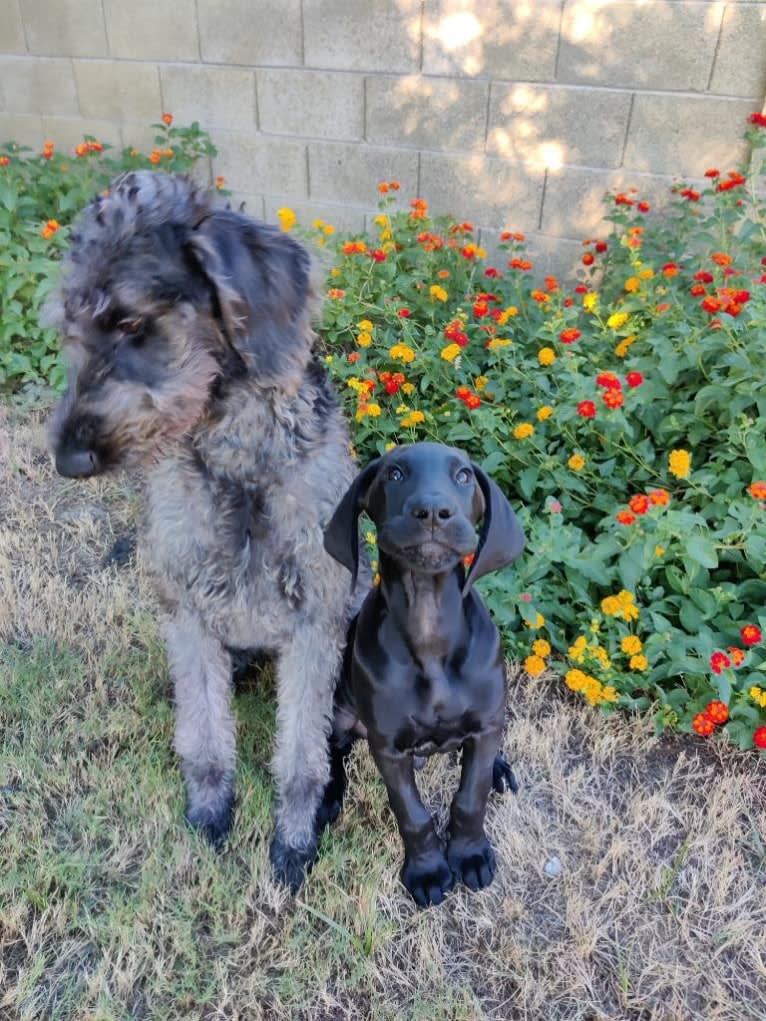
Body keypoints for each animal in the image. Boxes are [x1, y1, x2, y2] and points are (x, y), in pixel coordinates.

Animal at [49, 169, 363, 886]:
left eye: (131, 320)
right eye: (70, 324)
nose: (68, 459)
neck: (238, 459)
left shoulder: (317, 619)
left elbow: (301, 755)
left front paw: (295, 838)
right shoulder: (187, 610)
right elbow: (203, 733)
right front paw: (211, 809)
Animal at [324, 443, 527, 906]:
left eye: (464, 476)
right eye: (394, 474)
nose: (433, 511)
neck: (428, 623)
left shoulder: (485, 726)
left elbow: (470, 798)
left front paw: (469, 855)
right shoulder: (388, 748)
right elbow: (412, 814)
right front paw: (428, 871)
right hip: (338, 709)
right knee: (332, 751)